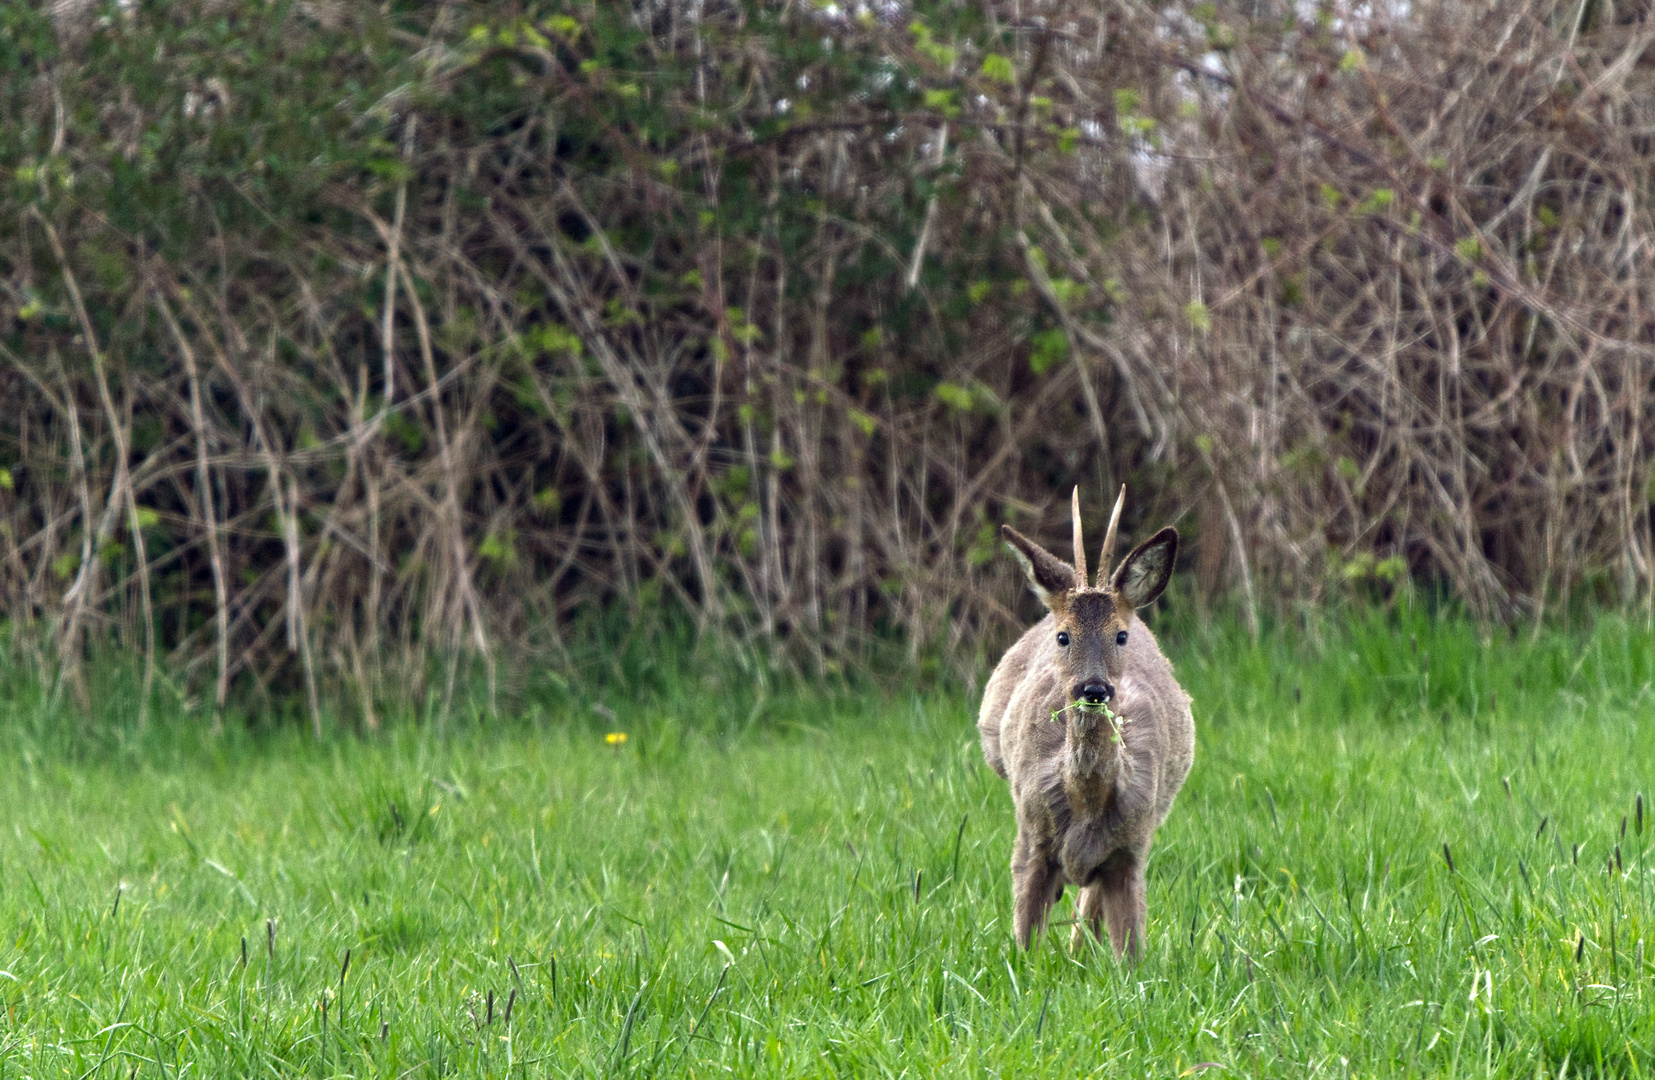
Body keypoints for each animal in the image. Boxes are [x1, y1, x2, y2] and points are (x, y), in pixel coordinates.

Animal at [973, 486, 1198, 952]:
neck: (1086, 804)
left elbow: (1130, 950)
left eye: (1120, 636)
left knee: (1088, 906)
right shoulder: (1031, 840)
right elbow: (1024, 939)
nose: (1093, 689)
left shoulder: (1131, 848)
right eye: (1064, 636)